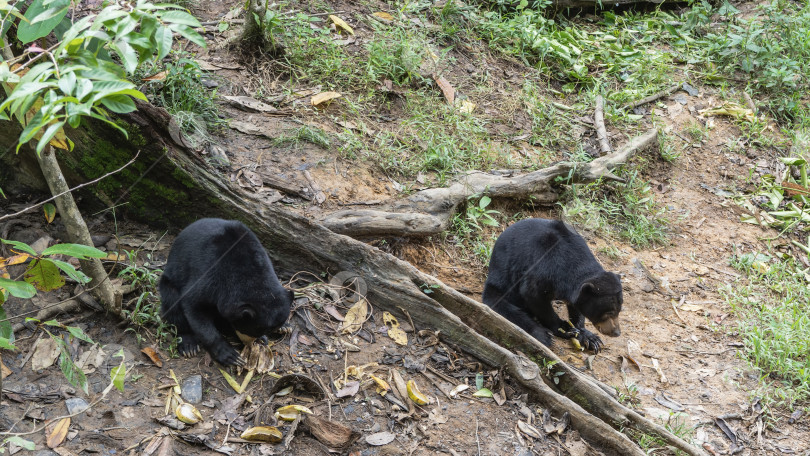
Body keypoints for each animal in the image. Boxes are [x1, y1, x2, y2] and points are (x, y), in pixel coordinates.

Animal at [159, 218, 294, 366]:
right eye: (247, 329)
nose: (249, 343)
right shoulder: (210, 275)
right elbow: (193, 305)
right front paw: (231, 356)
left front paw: (280, 328)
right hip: (169, 282)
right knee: (173, 304)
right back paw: (189, 345)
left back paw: (285, 327)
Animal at [482, 218, 620, 352]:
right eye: (609, 312)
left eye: (619, 310)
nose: (616, 332)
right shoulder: (543, 268)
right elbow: (533, 295)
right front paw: (565, 329)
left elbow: (576, 307)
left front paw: (589, 337)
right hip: (504, 282)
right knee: (507, 308)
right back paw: (543, 334)